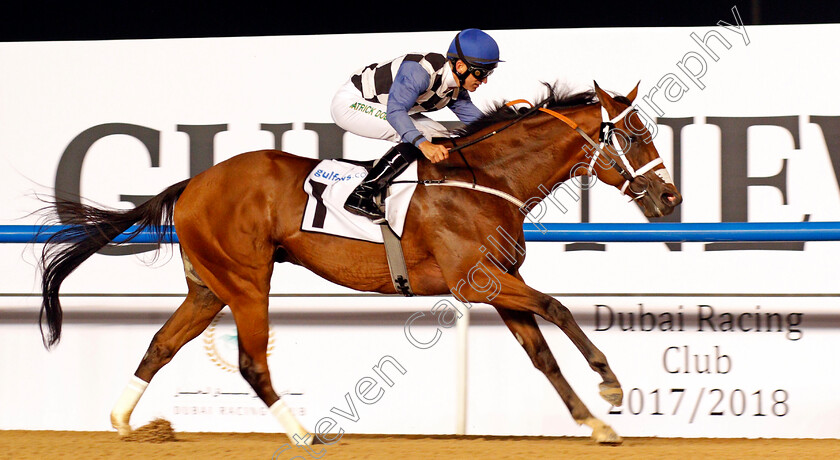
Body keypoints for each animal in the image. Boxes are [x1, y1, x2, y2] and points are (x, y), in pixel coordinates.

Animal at [41, 82, 684, 446]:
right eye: (634, 133)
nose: (670, 197)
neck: (486, 180)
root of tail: (194, 182)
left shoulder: (499, 284)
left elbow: (542, 354)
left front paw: (595, 423)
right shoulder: (477, 285)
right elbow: (558, 307)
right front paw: (609, 385)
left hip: (209, 286)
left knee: (161, 344)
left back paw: (126, 422)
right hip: (247, 280)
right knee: (251, 363)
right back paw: (303, 433)